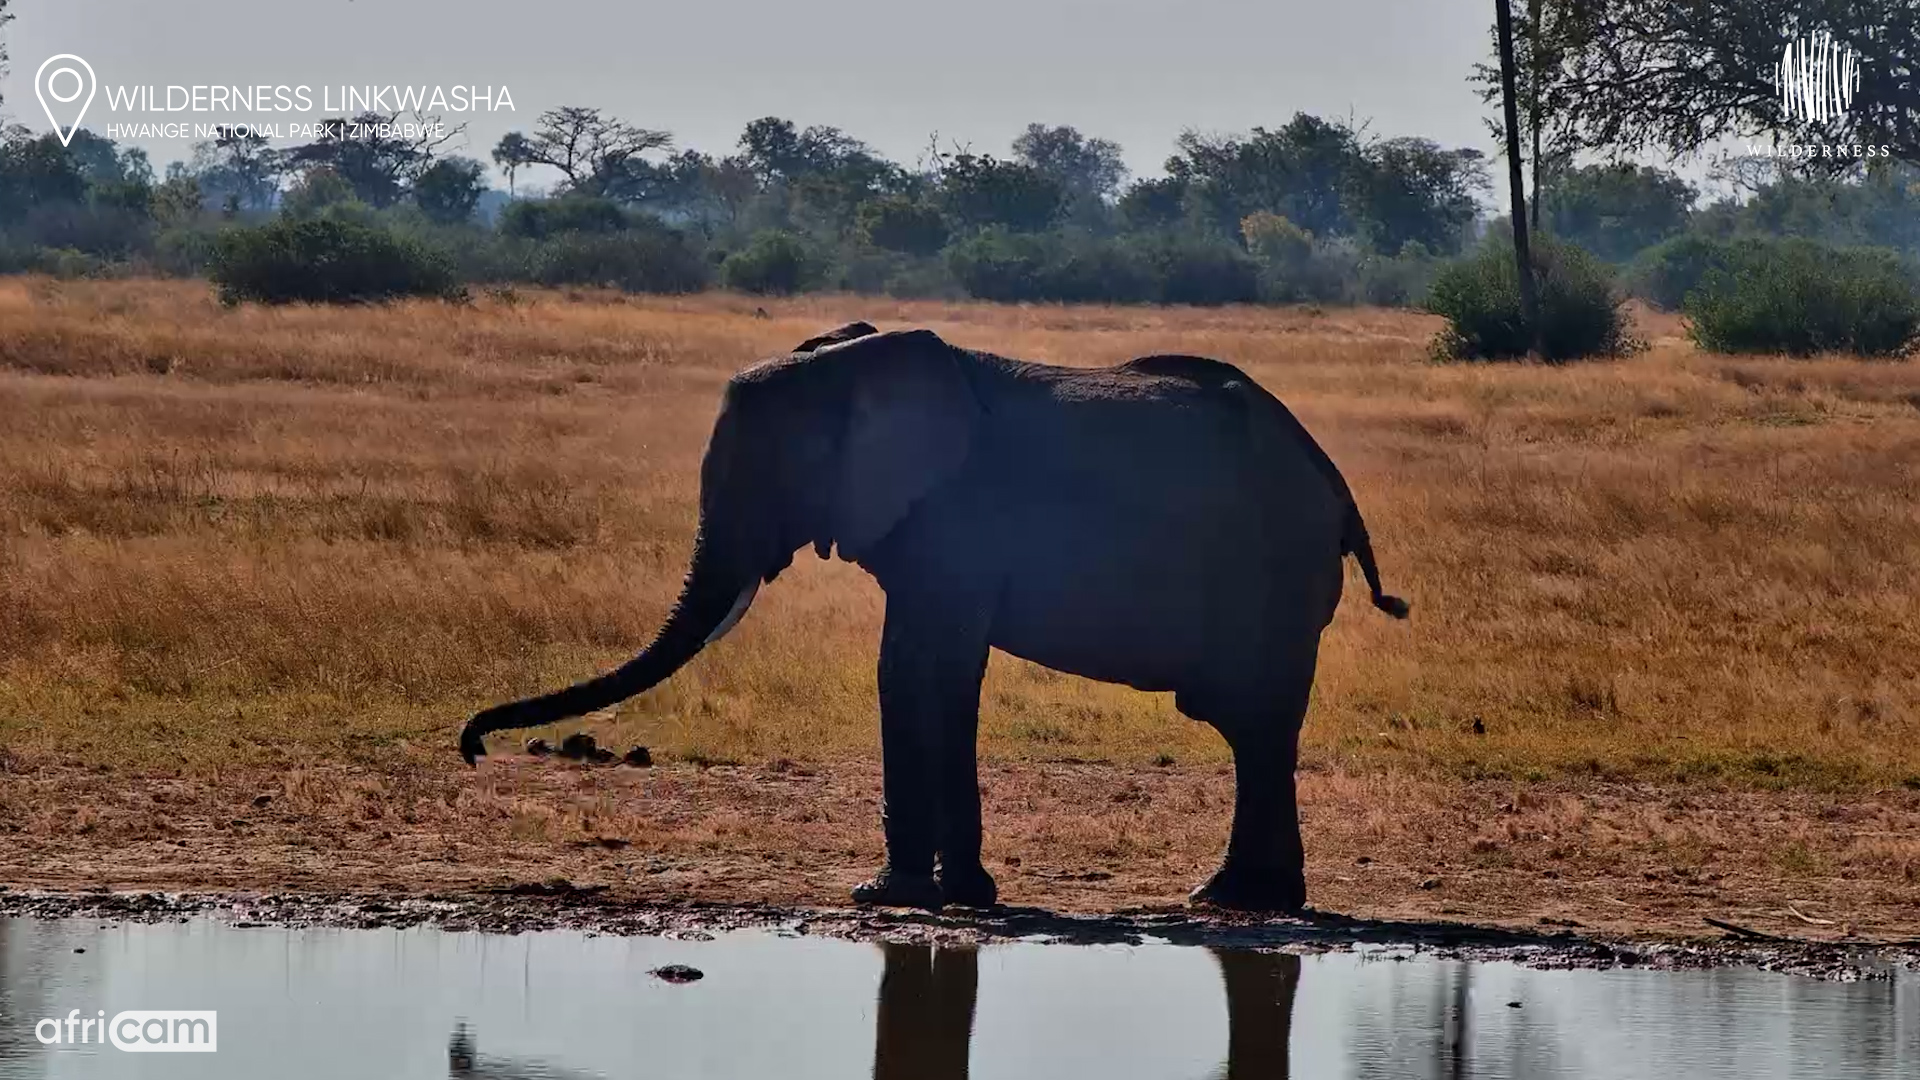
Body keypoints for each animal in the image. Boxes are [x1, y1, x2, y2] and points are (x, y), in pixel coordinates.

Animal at [460, 321, 1408, 913]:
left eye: (766, 474)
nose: (472, 748)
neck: (848, 364)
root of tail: (1335, 485)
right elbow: (906, 665)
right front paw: (927, 895)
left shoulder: (957, 517)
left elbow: (935, 667)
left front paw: (909, 896)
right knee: (1256, 731)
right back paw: (1245, 899)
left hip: (1272, 575)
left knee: (1256, 722)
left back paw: (1231, 898)